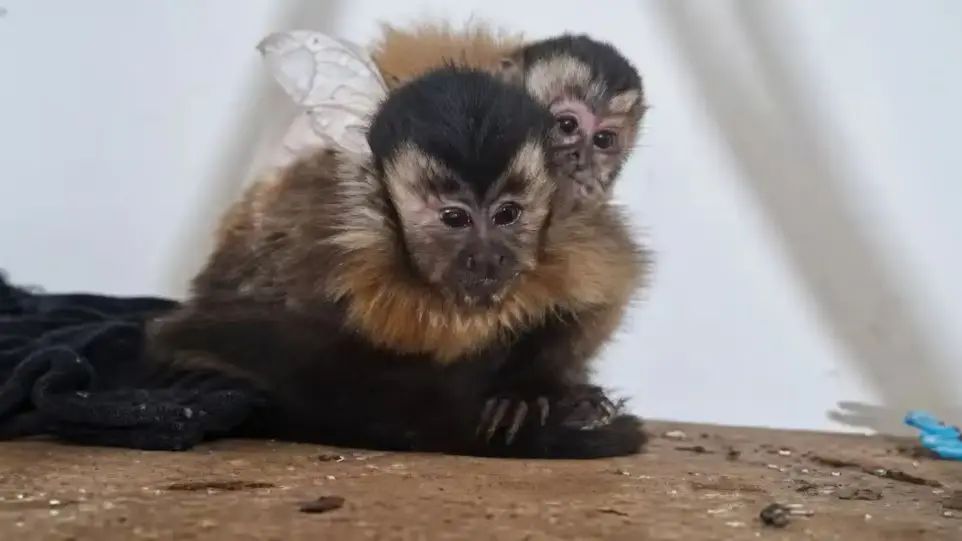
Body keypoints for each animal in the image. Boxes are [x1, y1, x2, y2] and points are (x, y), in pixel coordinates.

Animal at [146, 65, 652, 459]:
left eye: (507, 214)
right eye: (455, 218)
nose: (487, 258)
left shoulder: (569, 234)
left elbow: (600, 300)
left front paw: (532, 389)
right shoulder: (329, 251)